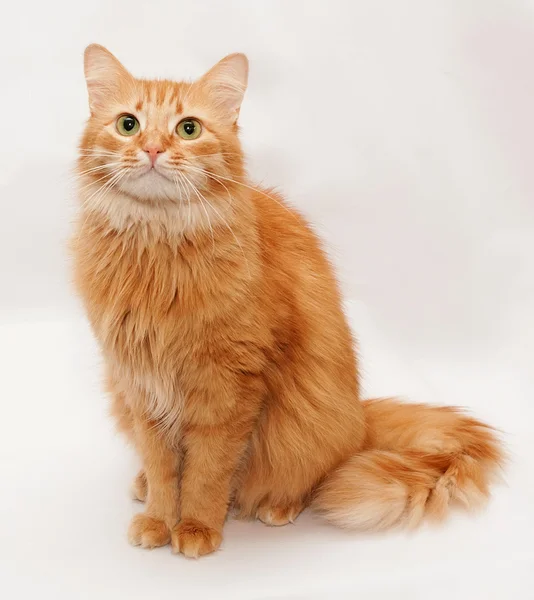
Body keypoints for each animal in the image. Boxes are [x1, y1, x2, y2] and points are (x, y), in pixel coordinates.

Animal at [73, 43, 504, 556]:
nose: (154, 149)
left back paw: (278, 507)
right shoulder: (141, 386)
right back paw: (142, 485)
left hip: (310, 425)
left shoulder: (229, 387)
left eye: (188, 129)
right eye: (128, 124)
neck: (157, 250)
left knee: (310, 476)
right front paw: (160, 518)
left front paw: (196, 527)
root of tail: (359, 418)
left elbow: (206, 472)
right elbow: (163, 469)